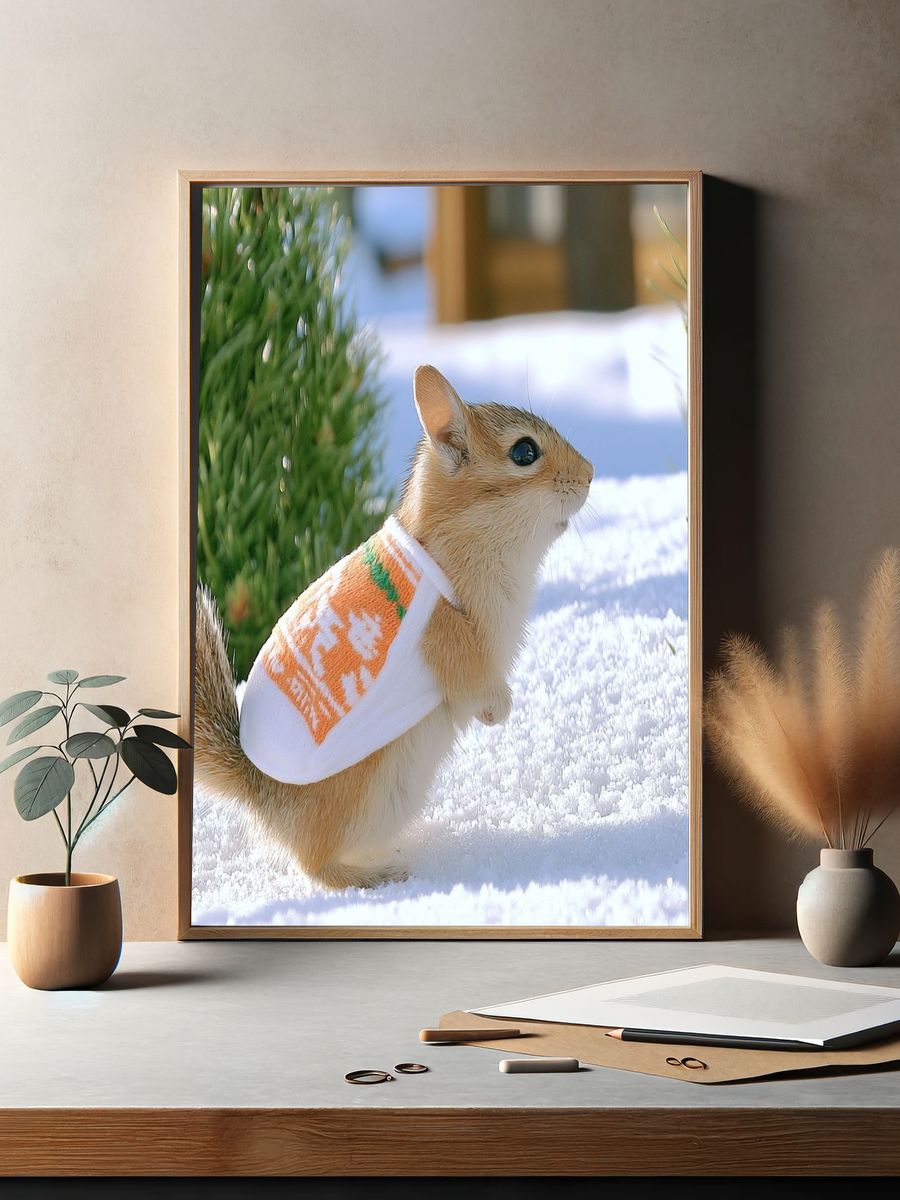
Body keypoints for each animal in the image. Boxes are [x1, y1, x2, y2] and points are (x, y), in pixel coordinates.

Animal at [194, 364, 593, 889]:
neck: (457, 537)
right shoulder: (453, 639)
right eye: (524, 452)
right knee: (313, 866)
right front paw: (499, 711)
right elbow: (476, 683)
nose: (591, 473)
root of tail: (258, 791)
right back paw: (379, 875)